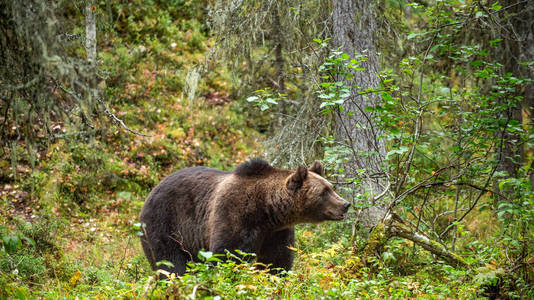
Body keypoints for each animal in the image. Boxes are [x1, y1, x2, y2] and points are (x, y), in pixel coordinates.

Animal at [139, 158, 352, 276]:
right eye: (324, 192)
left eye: (331, 187)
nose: (345, 204)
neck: (268, 211)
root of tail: (152, 190)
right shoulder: (234, 215)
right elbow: (228, 255)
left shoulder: (276, 233)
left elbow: (276, 261)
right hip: (166, 223)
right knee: (170, 262)